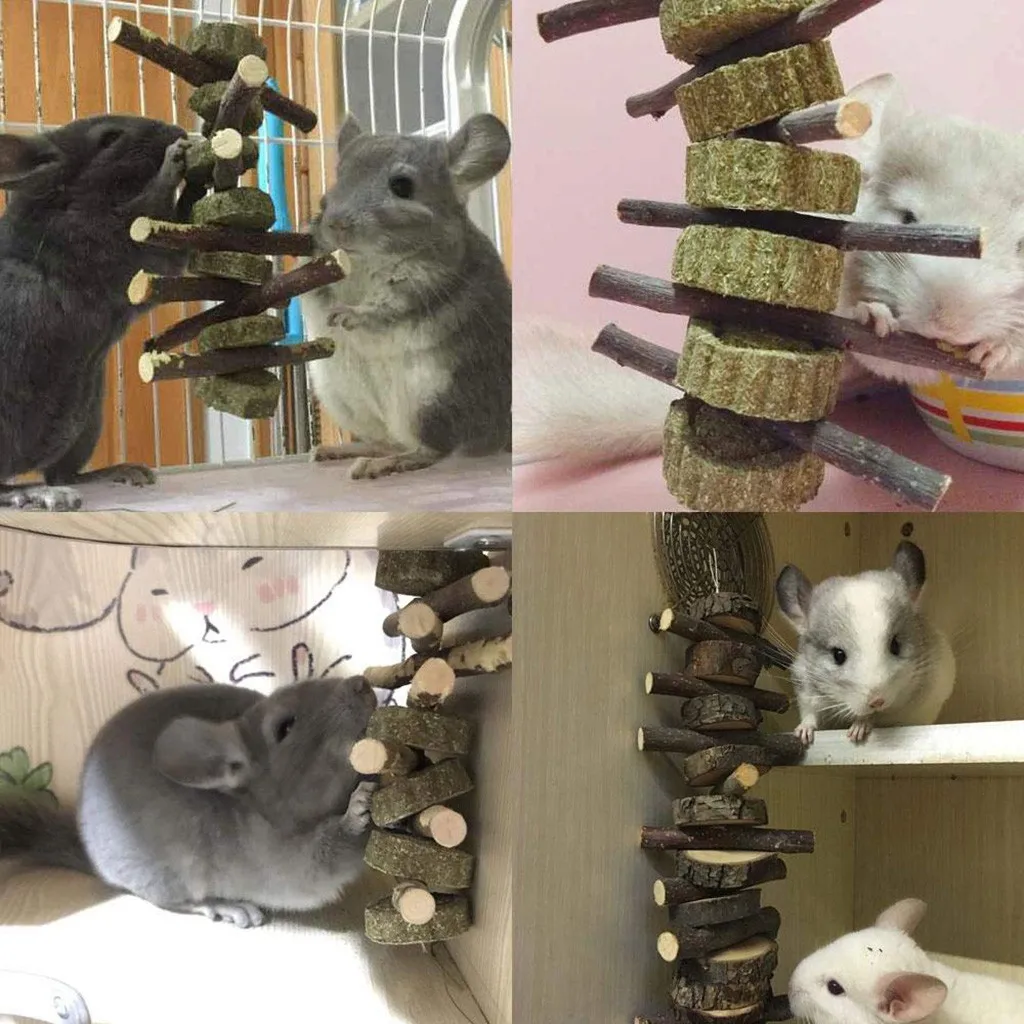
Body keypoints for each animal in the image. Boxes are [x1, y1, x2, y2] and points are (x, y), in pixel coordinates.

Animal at [0, 114, 195, 511]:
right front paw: (175, 159)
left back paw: (125, 471)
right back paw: (35, 495)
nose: (179, 131)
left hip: (86, 421)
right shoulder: (118, 242)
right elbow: (155, 210)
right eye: (109, 138)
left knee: (64, 472)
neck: (69, 201)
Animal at [0, 676, 379, 927]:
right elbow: (333, 851)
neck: (262, 809)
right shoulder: (295, 866)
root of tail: (92, 856)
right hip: (173, 877)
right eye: (285, 727)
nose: (361, 683)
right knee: (173, 902)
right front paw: (360, 806)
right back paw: (230, 908)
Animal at [300, 113, 512, 480]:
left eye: (402, 186)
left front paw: (346, 315)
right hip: (344, 399)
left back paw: (381, 465)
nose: (337, 224)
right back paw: (339, 451)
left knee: (432, 449)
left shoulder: (424, 282)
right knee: (385, 441)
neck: (364, 260)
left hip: (431, 400)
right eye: (338, 178)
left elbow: (384, 307)